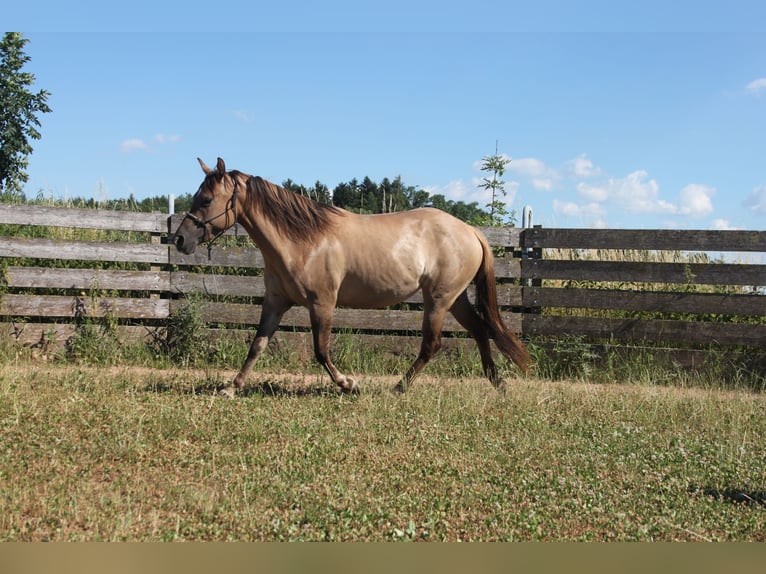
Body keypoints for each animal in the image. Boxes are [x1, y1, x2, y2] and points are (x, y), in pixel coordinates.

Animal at [173, 158, 531, 396]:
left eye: (206, 199)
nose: (179, 239)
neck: (303, 240)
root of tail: (470, 231)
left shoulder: (322, 303)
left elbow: (321, 350)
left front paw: (349, 384)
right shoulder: (276, 302)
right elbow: (257, 345)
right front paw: (231, 388)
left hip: (439, 300)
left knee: (432, 345)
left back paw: (398, 388)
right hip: (454, 299)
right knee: (480, 330)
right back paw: (498, 384)